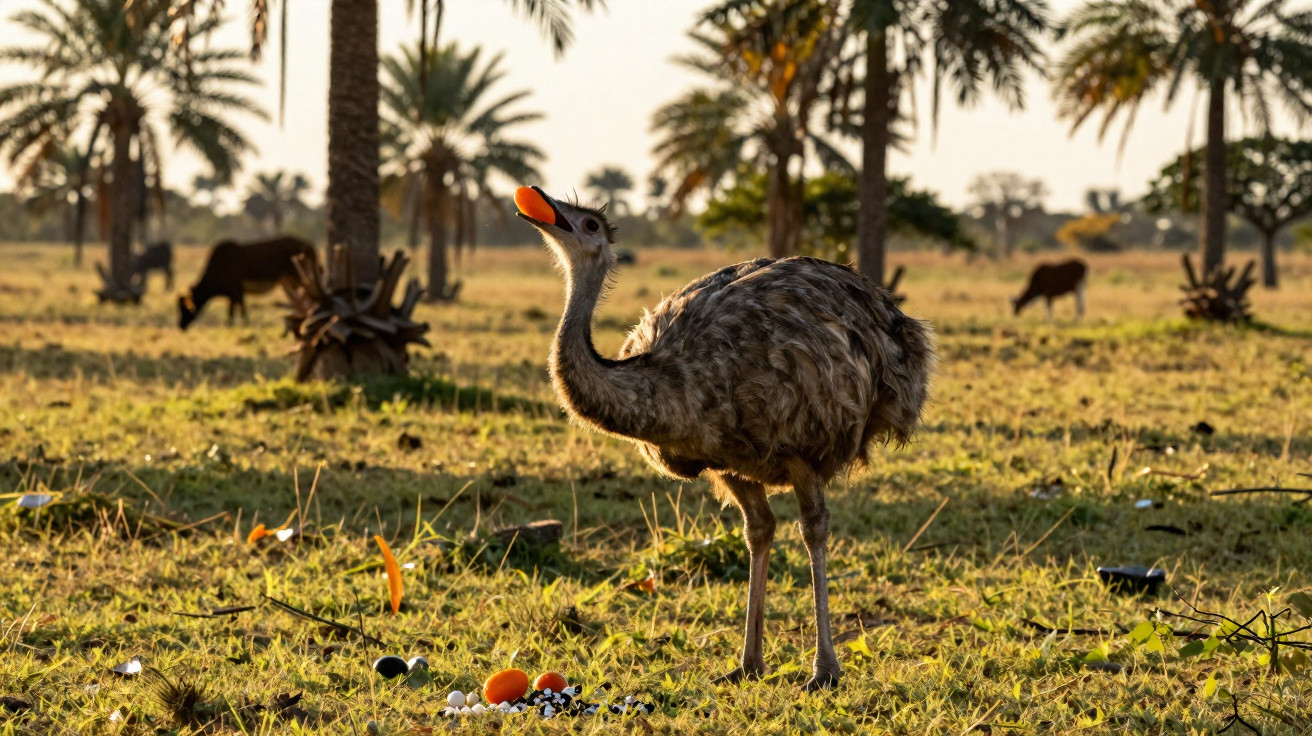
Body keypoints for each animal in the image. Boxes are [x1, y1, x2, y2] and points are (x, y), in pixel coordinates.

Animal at [178, 235, 316, 330]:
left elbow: (239, 311)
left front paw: (244, 326)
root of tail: (308, 245)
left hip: (300, 280)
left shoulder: (236, 291)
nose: (181, 326)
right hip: (288, 283)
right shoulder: (234, 295)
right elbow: (234, 311)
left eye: (185, 308)